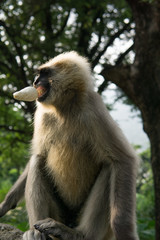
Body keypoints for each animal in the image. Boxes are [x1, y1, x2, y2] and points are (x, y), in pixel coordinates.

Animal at [0, 52, 139, 240]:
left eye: (44, 74)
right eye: (38, 75)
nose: (35, 81)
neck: (64, 109)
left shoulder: (92, 107)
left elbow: (123, 160)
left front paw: (124, 232)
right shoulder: (43, 115)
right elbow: (39, 154)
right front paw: (5, 204)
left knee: (109, 168)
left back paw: (78, 234)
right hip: (59, 213)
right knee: (38, 161)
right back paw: (37, 231)